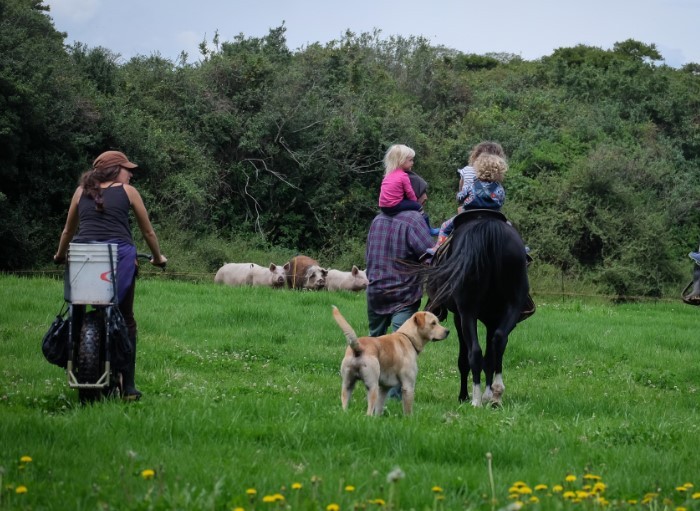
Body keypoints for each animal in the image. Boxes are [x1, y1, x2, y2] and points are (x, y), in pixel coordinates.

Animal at [422, 211, 532, 408]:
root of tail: (489, 229)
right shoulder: (493, 319)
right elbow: (490, 357)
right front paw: (488, 394)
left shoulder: (459, 317)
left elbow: (465, 359)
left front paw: (464, 396)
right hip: (512, 306)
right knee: (499, 340)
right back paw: (496, 394)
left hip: (467, 313)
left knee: (474, 352)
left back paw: (475, 400)